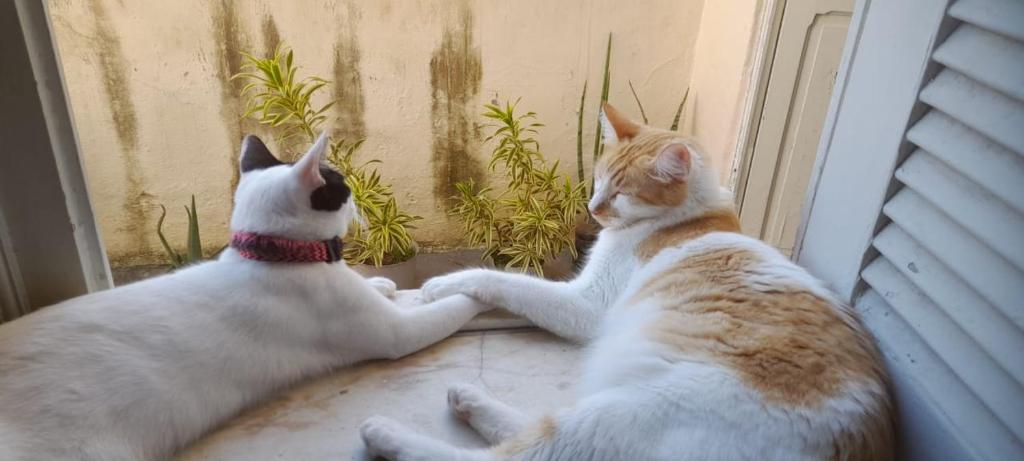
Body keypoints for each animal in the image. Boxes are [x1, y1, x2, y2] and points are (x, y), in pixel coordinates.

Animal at [0, 134, 491, 461]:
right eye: (341, 185)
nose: (356, 199)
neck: (276, 254)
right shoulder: (396, 332)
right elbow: (451, 308)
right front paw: (480, 291)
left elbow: (376, 286)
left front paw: (383, 284)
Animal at [362, 104, 897, 461]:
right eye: (598, 179)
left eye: (621, 193)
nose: (593, 208)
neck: (689, 214)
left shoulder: (587, 305)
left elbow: (507, 280)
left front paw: (441, 284)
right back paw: (469, 400)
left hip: (625, 414)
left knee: (517, 454)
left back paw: (387, 434)